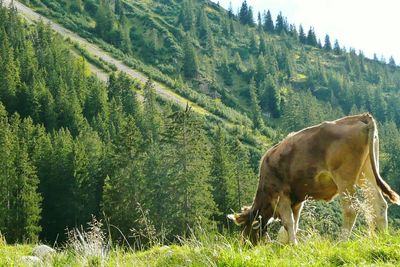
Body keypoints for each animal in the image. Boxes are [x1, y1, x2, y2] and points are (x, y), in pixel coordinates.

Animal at [228, 113, 400, 245]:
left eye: (245, 228)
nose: (244, 245)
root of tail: (361, 117)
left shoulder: (280, 195)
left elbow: (289, 223)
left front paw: (293, 245)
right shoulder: (297, 200)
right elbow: (293, 224)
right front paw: (287, 245)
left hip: (345, 176)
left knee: (351, 209)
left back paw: (341, 242)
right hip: (366, 173)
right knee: (379, 204)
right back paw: (382, 239)